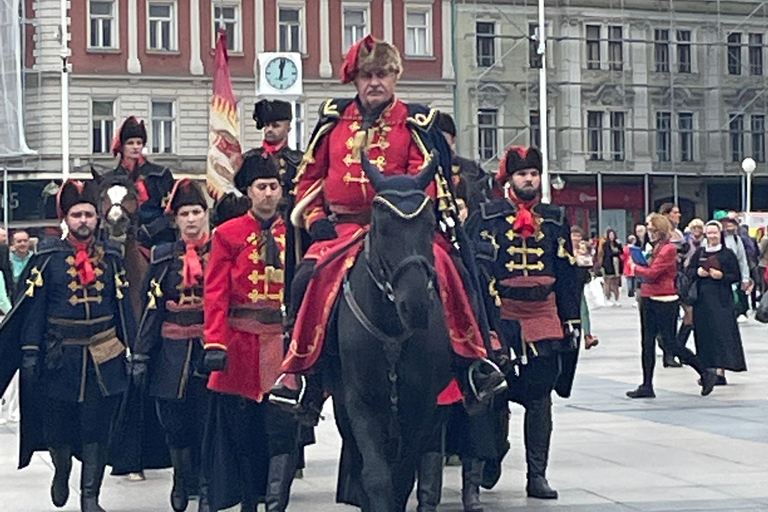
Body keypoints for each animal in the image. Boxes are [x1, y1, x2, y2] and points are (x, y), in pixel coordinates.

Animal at [332, 154, 456, 512]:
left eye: (429, 224)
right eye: (382, 227)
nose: (414, 305)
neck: (391, 331)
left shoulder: (423, 404)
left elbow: (401, 478)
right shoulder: (358, 402)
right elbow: (375, 476)